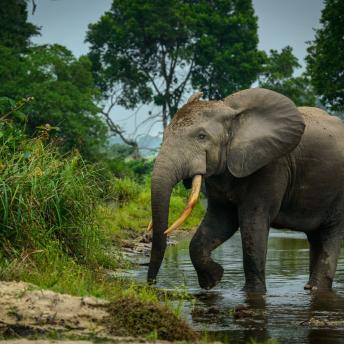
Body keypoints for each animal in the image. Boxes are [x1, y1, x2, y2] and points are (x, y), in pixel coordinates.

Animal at [147, 87, 344, 292]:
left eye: (201, 136)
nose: (151, 285)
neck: (232, 114)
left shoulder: (270, 166)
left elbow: (252, 224)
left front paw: (252, 293)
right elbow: (220, 221)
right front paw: (212, 280)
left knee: (331, 233)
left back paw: (316, 288)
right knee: (315, 236)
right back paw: (309, 288)